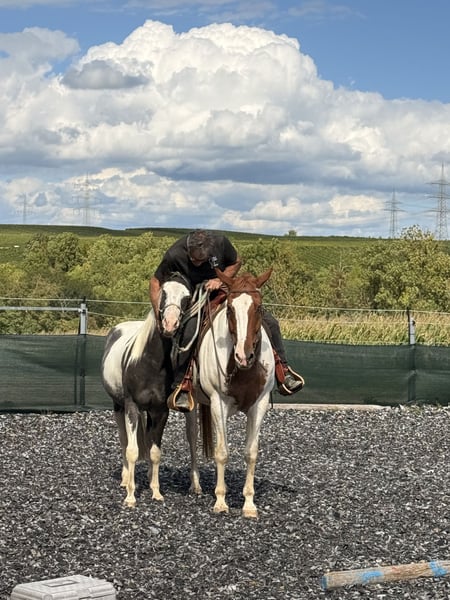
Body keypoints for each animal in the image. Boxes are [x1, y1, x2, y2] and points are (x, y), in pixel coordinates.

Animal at [101, 272, 201, 507]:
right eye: (163, 293)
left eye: (187, 297)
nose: (170, 323)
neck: (150, 362)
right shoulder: (131, 406)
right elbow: (132, 450)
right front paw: (130, 496)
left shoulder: (160, 411)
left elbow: (154, 451)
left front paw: (156, 492)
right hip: (119, 406)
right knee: (124, 441)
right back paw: (125, 479)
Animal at [195, 268, 275, 518]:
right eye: (230, 309)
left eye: (258, 308)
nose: (243, 355)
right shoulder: (217, 403)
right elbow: (222, 452)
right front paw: (220, 501)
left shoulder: (260, 403)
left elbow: (251, 452)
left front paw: (249, 504)